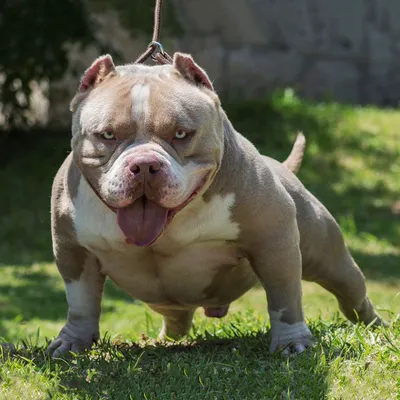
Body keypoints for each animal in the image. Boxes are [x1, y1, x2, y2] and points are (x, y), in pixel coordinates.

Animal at [47, 53, 384, 356]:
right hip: (166, 301)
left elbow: (284, 298)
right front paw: (72, 342)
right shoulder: (73, 252)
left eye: (181, 134)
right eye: (107, 135)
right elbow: (81, 302)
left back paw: (376, 326)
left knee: (352, 294)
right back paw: (163, 340)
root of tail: (283, 167)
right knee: (176, 318)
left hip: (328, 259)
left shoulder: (273, 243)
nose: (143, 165)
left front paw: (292, 342)